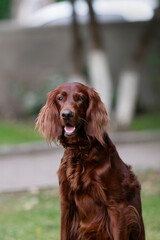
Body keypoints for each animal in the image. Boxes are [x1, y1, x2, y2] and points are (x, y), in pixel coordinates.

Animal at [36, 81, 145, 239]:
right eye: (60, 98)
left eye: (80, 98)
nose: (66, 114)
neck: (80, 151)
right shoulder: (66, 204)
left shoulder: (117, 206)